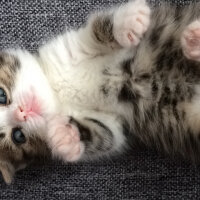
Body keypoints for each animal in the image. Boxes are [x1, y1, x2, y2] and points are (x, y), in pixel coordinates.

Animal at [1, 0, 200, 184]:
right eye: (19, 136)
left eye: (1, 95)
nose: (21, 113)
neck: (58, 92)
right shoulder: (115, 122)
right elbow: (108, 136)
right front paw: (66, 137)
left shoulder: (67, 48)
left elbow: (95, 32)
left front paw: (128, 22)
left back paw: (194, 40)